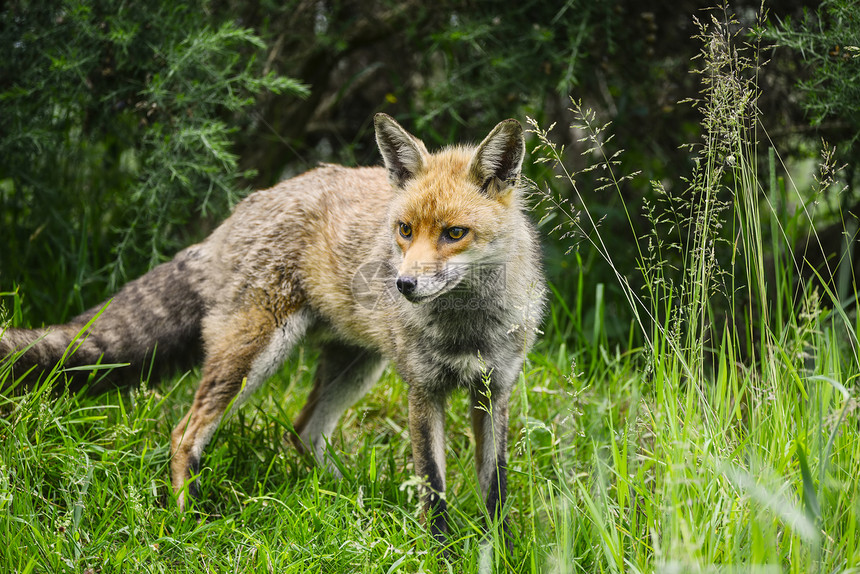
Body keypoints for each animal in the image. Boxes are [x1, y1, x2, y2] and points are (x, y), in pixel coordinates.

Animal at [0, 113, 544, 560]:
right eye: (406, 229)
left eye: (454, 234)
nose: (403, 285)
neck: (467, 330)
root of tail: (247, 204)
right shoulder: (423, 390)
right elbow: (433, 487)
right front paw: (442, 555)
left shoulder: (495, 389)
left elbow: (495, 489)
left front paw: (503, 553)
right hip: (253, 355)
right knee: (185, 434)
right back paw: (187, 525)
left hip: (355, 366)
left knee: (302, 433)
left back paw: (354, 501)